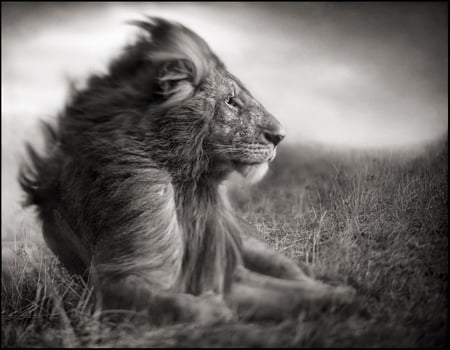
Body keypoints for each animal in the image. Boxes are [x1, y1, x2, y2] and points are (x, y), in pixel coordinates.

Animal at [19, 15, 354, 322]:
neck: (188, 184)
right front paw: (212, 309)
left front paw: (342, 296)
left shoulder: (226, 272)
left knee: (294, 269)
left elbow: (296, 292)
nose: (280, 136)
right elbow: (176, 304)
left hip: (251, 246)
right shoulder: (114, 282)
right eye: (231, 101)